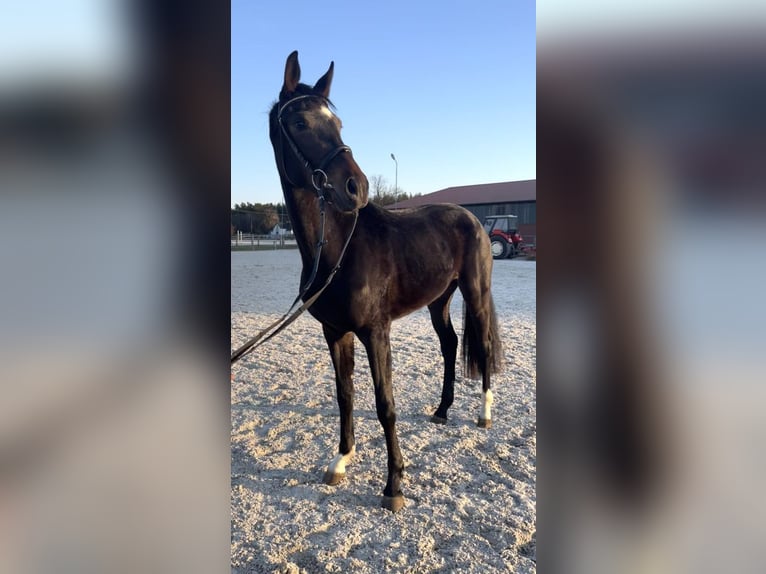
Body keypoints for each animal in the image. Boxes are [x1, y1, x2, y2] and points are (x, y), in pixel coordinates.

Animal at [267, 51, 502, 512]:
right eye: (299, 123)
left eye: (338, 123)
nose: (355, 187)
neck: (338, 250)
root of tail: (472, 219)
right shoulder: (334, 331)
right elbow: (345, 395)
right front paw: (341, 460)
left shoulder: (376, 332)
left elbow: (385, 404)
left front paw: (394, 486)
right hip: (439, 300)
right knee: (450, 344)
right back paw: (442, 411)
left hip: (475, 291)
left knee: (481, 344)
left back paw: (484, 414)